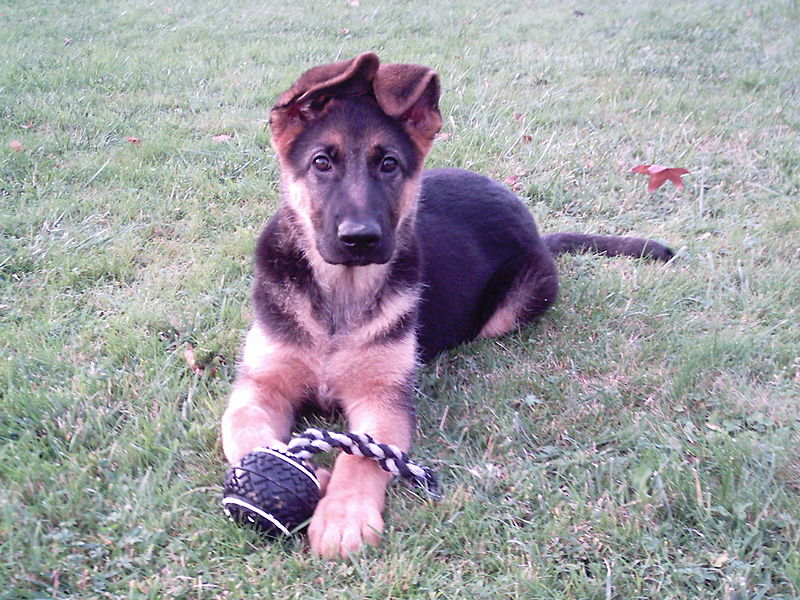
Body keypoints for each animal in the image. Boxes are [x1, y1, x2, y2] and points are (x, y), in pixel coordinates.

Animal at [222, 52, 672, 556]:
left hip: (515, 304)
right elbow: (244, 432)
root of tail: (535, 228)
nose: (361, 239)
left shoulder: (384, 399)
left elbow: (363, 457)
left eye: (389, 164)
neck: (341, 295)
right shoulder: (260, 386)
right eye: (321, 162)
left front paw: (344, 515)